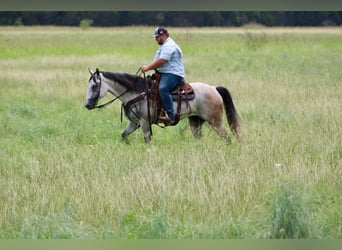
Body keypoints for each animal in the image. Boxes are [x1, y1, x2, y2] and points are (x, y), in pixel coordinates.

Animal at [84, 68, 239, 144]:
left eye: (94, 86)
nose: (87, 105)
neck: (137, 92)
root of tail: (214, 88)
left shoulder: (145, 122)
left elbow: (148, 140)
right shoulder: (134, 123)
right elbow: (123, 135)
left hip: (215, 122)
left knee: (227, 138)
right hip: (196, 122)